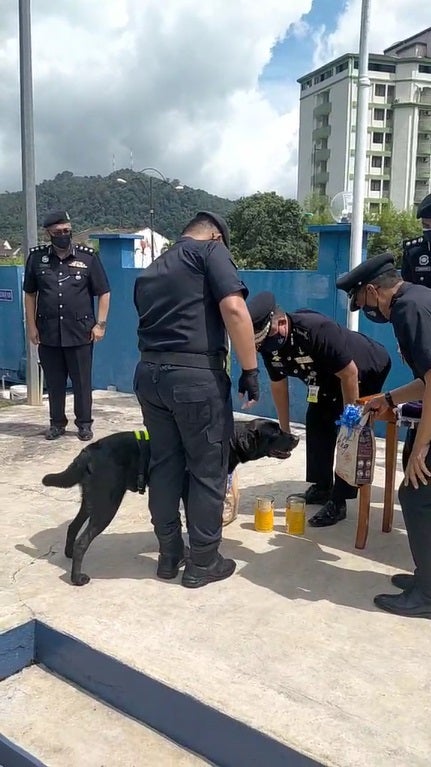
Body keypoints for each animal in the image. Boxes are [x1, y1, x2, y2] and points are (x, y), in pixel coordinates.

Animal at [43, 420, 300, 588]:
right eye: (276, 432)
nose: (297, 438)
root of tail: (86, 453)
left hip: (91, 500)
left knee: (72, 527)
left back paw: (67, 554)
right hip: (107, 504)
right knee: (82, 541)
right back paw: (77, 578)